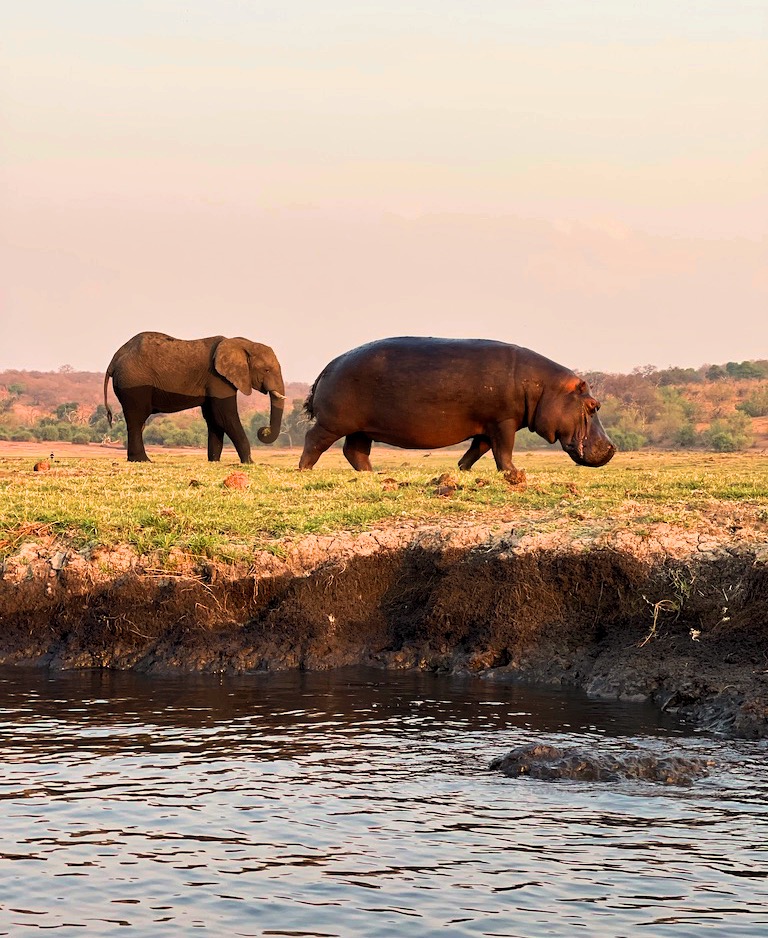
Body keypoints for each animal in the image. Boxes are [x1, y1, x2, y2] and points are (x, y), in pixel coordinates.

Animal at [101, 330, 282, 462]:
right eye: (266, 370)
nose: (263, 430)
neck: (241, 343)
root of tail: (114, 359)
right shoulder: (218, 379)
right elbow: (225, 415)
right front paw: (249, 463)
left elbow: (214, 418)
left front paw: (214, 461)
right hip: (134, 384)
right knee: (137, 419)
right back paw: (143, 460)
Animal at [296, 332, 616, 472]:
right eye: (594, 405)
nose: (613, 448)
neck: (545, 388)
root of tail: (329, 365)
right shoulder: (504, 421)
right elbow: (504, 450)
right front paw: (514, 474)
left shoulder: (489, 424)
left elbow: (480, 449)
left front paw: (461, 469)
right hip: (334, 423)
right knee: (314, 441)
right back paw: (304, 471)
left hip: (362, 428)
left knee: (355, 452)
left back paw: (372, 475)